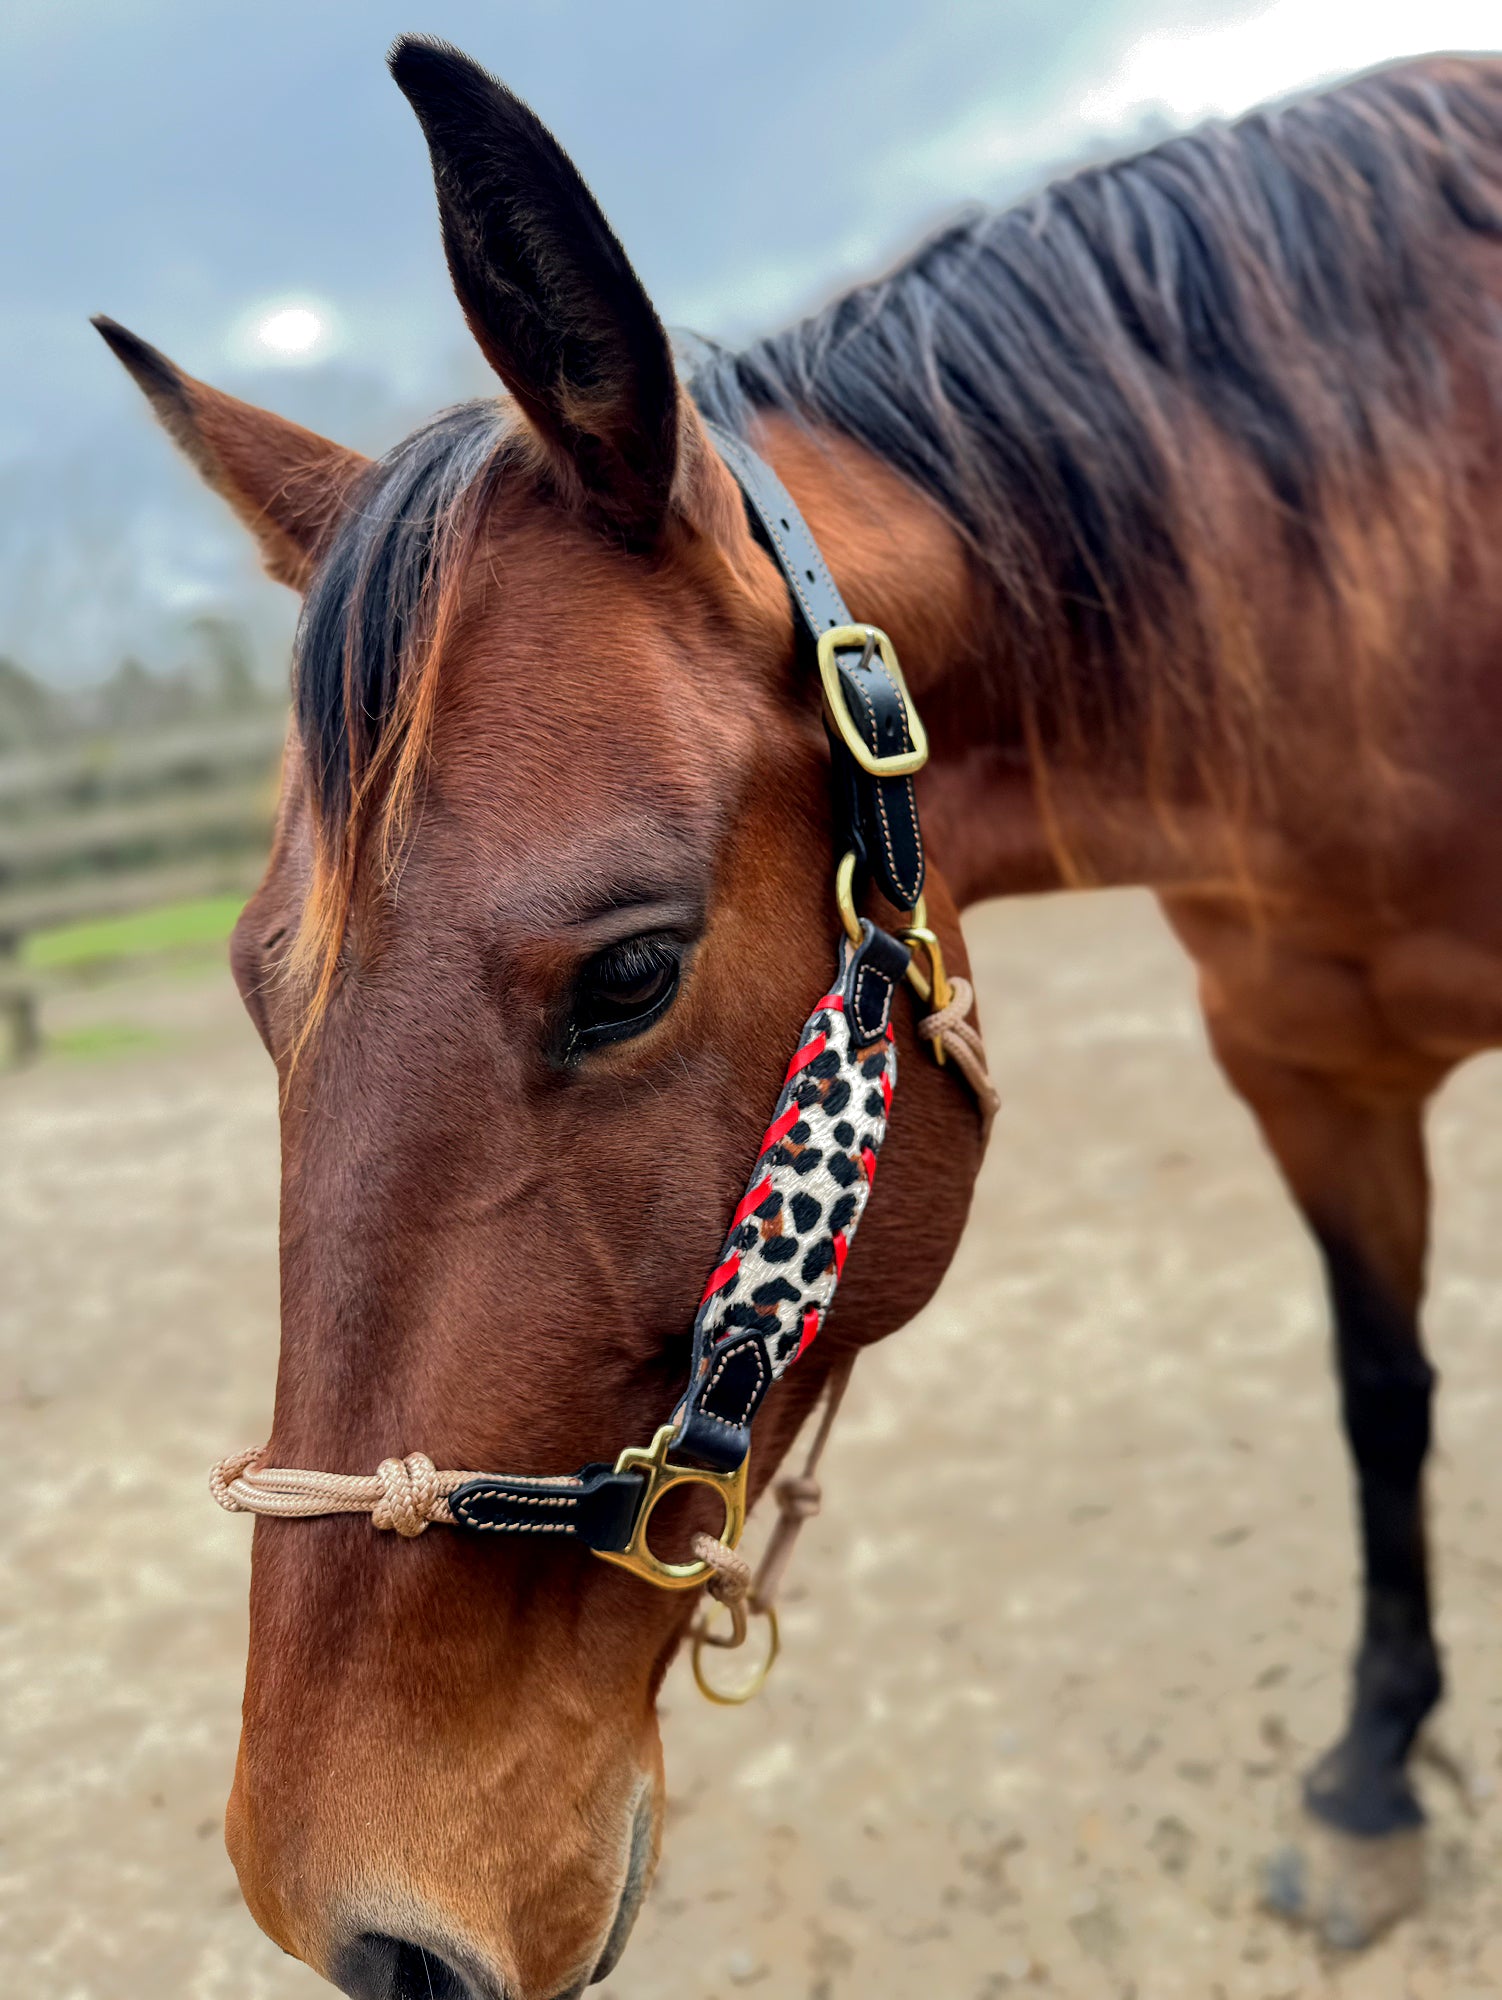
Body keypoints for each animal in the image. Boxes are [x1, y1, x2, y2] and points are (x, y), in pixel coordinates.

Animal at [97, 35, 1502, 2000]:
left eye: (627, 973)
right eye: (247, 981)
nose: (363, 1922)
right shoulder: (1301, 1068)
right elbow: (1382, 1394)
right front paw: (1374, 1769)